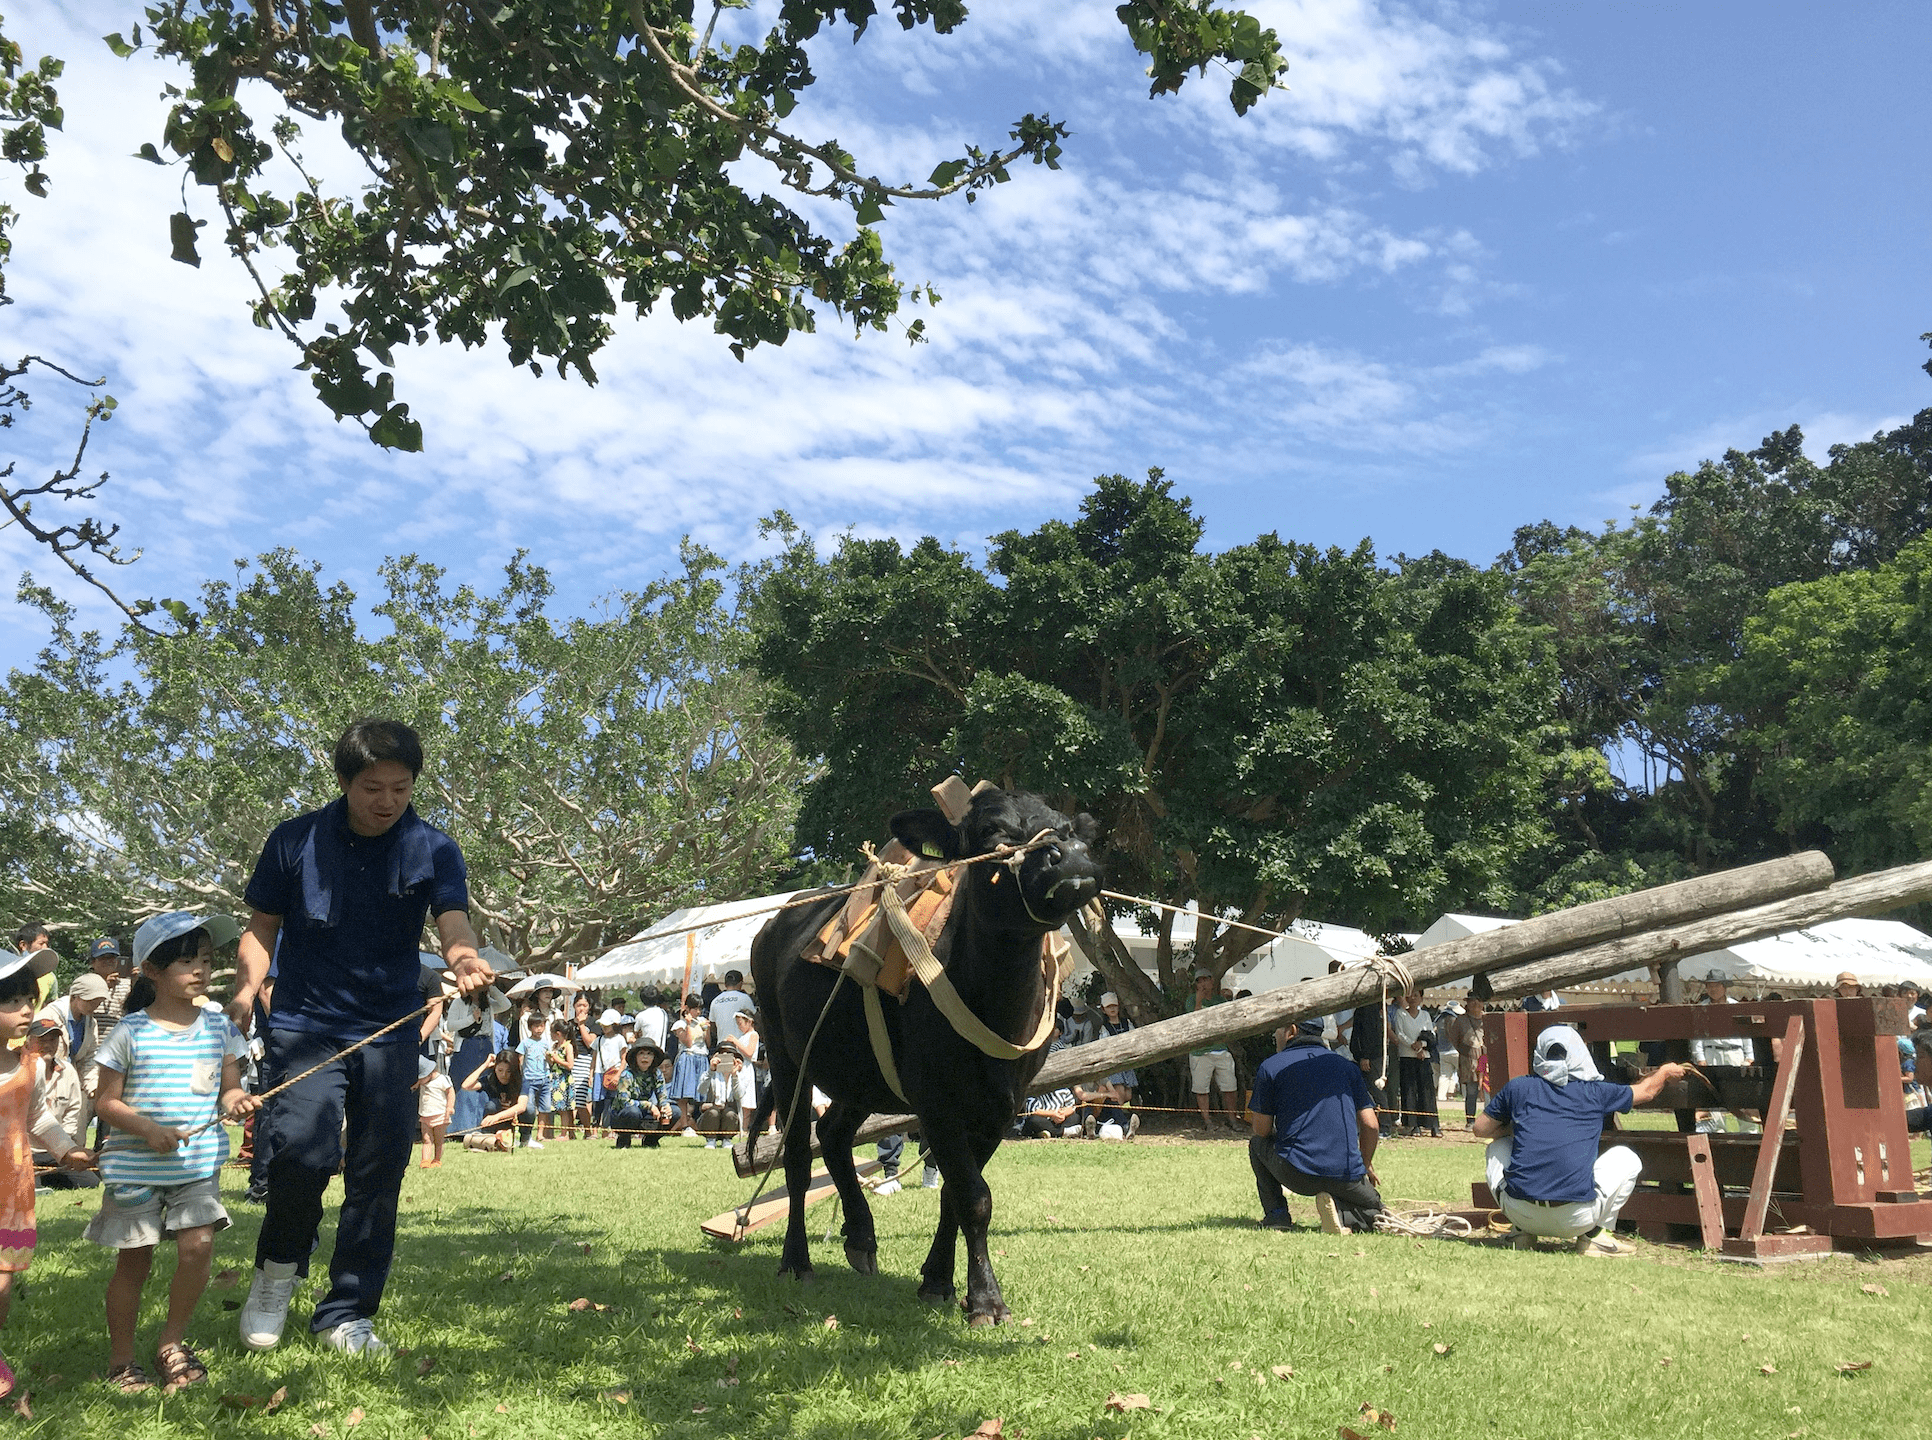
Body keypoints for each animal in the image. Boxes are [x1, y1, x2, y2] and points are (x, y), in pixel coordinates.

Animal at [741, 784, 1105, 1322]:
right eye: (992, 831)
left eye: (1067, 829)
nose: (1071, 857)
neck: (993, 999)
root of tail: (776, 922)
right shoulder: (937, 1102)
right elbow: (974, 1196)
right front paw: (986, 1299)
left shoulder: (1001, 1107)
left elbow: (956, 1194)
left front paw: (938, 1280)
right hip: (788, 1060)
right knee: (798, 1158)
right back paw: (796, 1261)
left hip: (861, 1075)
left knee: (833, 1134)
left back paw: (861, 1237)